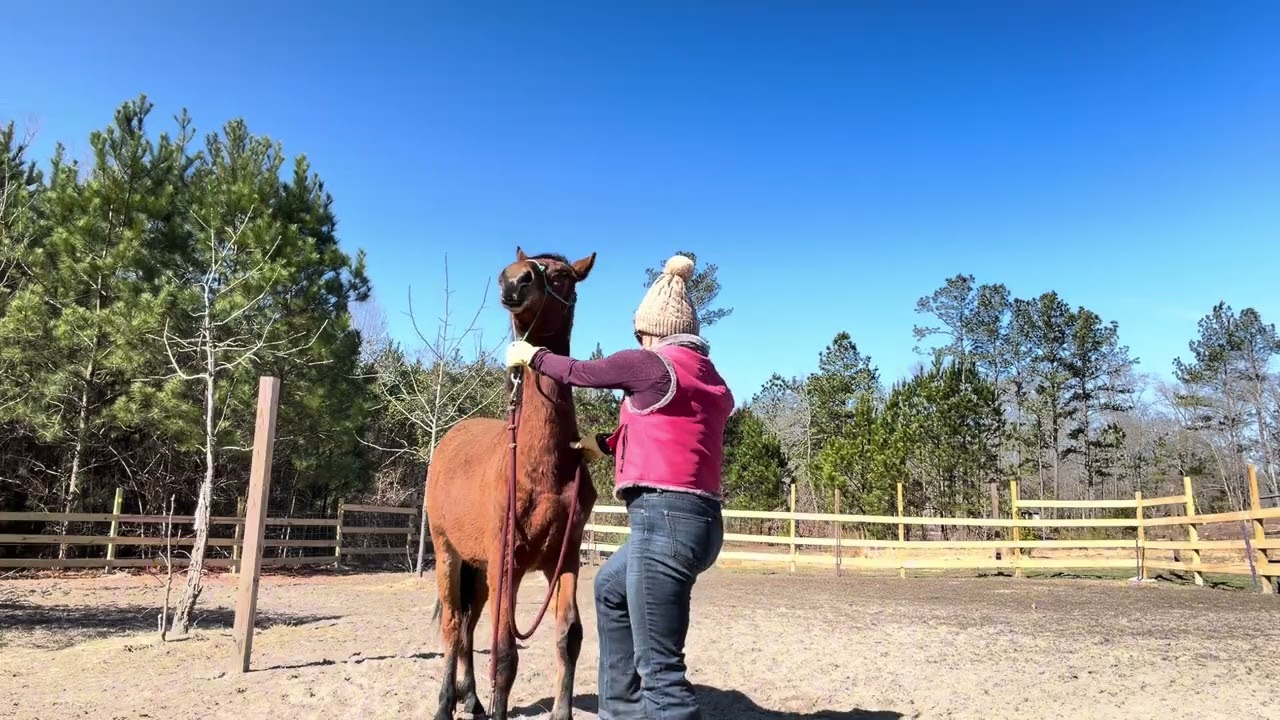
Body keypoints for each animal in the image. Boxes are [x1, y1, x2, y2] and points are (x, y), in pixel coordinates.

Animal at [425, 247, 600, 720]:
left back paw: (472, 700)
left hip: (480, 569)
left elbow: (568, 638)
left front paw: (562, 713)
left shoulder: (566, 559)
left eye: (562, 276)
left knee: (468, 626)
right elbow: (504, 652)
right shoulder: (509, 563)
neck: (541, 469)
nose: (513, 280)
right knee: (453, 625)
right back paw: (446, 703)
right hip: (448, 554)